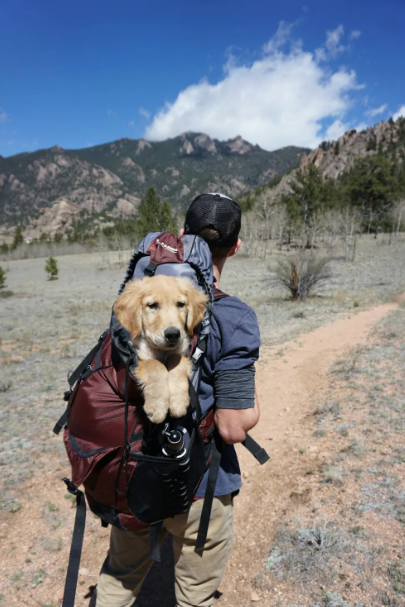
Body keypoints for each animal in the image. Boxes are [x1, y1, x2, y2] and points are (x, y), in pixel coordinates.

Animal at [114, 276, 207, 422]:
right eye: (152, 305)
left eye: (180, 304)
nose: (173, 334)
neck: (162, 350)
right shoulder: (138, 356)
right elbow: (155, 364)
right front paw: (157, 407)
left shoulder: (181, 351)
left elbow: (176, 360)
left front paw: (178, 402)